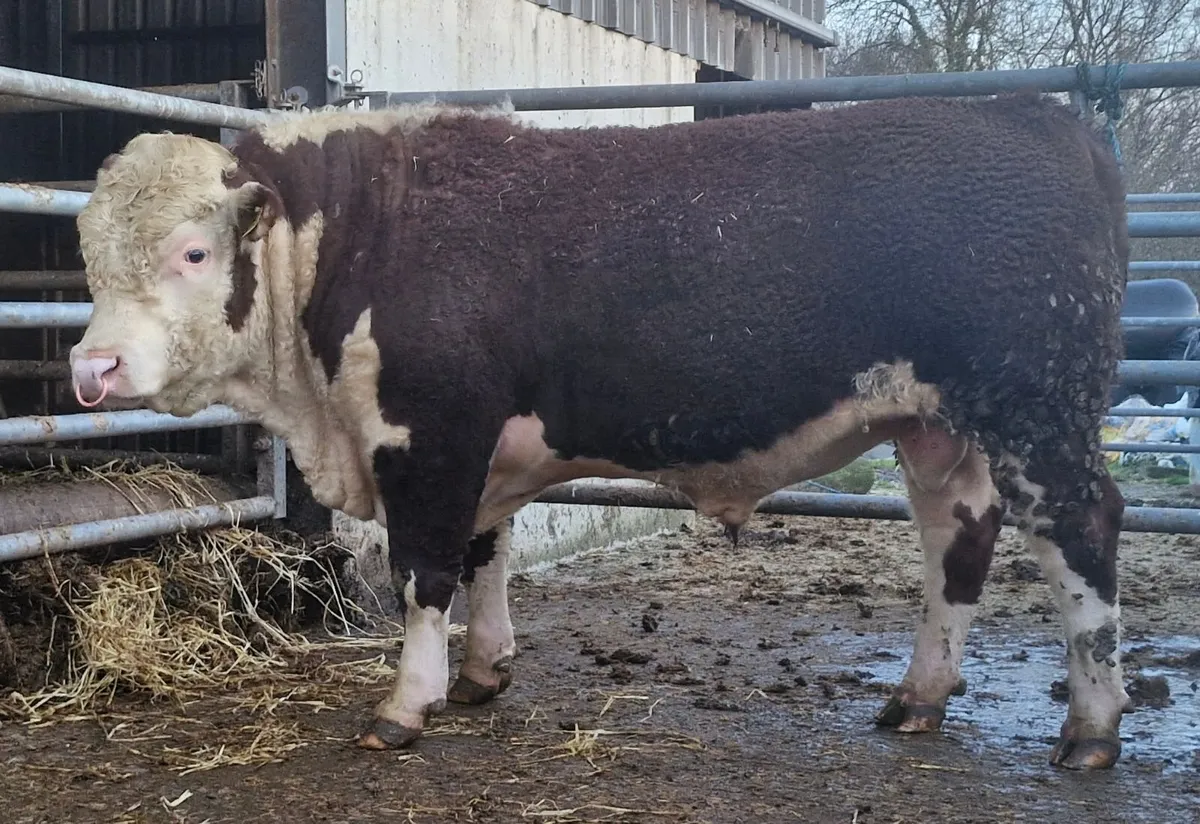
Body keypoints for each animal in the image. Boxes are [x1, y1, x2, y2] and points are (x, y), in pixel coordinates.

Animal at [69, 94, 1132, 770]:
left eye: (192, 252)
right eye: (87, 254)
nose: (92, 369)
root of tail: (1039, 115)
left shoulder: (430, 435)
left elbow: (425, 572)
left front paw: (404, 707)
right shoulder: (482, 446)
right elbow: (486, 551)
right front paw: (482, 673)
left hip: (1041, 408)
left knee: (1082, 531)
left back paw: (1091, 728)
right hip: (935, 424)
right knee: (959, 539)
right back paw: (919, 698)